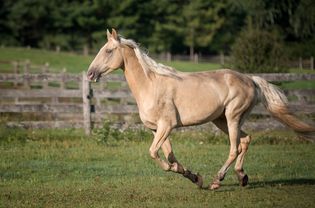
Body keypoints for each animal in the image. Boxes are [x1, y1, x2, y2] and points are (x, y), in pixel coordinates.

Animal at [87, 28, 315, 189]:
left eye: (108, 51)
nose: (90, 74)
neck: (151, 85)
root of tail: (250, 79)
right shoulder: (156, 129)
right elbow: (170, 156)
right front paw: (194, 177)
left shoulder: (166, 126)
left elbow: (155, 154)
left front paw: (184, 173)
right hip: (221, 120)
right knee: (245, 140)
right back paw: (241, 177)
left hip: (232, 117)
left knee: (234, 147)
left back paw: (217, 180)